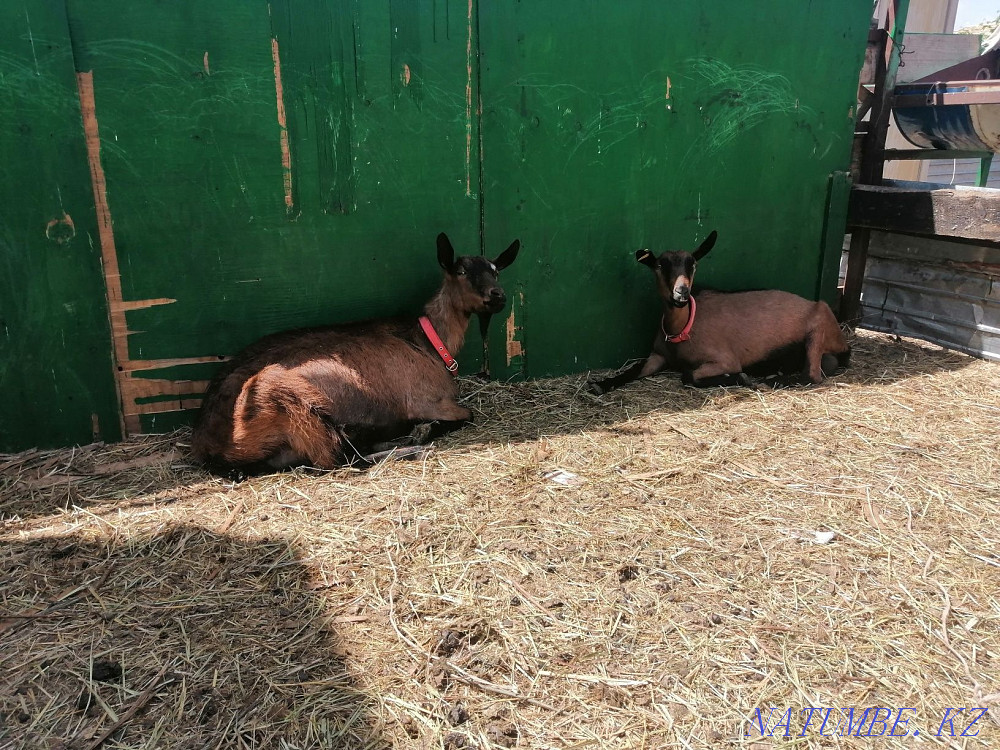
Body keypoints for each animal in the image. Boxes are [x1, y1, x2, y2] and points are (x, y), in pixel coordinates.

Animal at [191, 233, 521, 475]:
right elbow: (467, 415)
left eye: (495, 272)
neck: (428, 340)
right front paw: (423, 431)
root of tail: (211, 446)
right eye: (461, 271)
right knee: (341, 460)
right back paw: (415, 446)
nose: (498, 296)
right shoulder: (430, 401)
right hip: (294, 405)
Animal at [588, 230, 850, 394]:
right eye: (661, 265)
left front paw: (739, 378)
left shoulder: (726, 359)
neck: (683, 329)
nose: (682, 293)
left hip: (818, 324)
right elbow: (635, 369)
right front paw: (601, 384)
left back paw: (771, 380)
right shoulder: (658, 355)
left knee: (812, 375)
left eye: (692, 263)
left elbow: (689, 376)